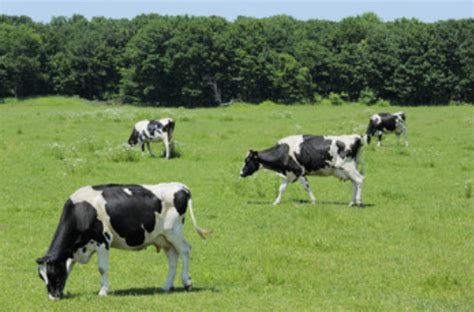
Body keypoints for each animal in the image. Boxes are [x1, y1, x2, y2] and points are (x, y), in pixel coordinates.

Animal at [35, 183, 209, 300]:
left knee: (186, 250)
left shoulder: (103, 240)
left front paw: (103, 291)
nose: (53, 297)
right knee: (173, 258)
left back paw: (187, 282)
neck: (82, 211)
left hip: (174, 232)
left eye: (52, 273)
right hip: (163, 238)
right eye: (42, 277)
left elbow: (102, 268)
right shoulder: (75, 249)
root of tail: (181, 186)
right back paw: (166, 286)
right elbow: (69, 268)